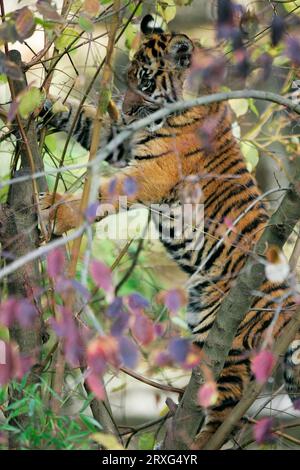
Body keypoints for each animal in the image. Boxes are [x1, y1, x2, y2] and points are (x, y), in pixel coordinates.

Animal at [40, 14, 300, 448]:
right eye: (127, 78)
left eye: (146, 82)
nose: (129, 109)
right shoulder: (123, 139)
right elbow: (86, 115)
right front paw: (40, 105)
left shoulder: (149, 171)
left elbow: (99, 193)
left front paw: (55, 210)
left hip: (225, 342)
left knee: (225, 410)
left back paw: (193, 441)